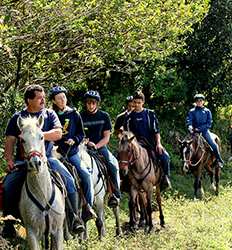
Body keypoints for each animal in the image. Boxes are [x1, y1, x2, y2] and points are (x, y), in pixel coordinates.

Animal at [17, 115, 65, 250]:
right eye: (22, 140)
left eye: (42, 136)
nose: (35, 163)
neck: (42, 194)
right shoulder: (31, 232)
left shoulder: (58, 231)